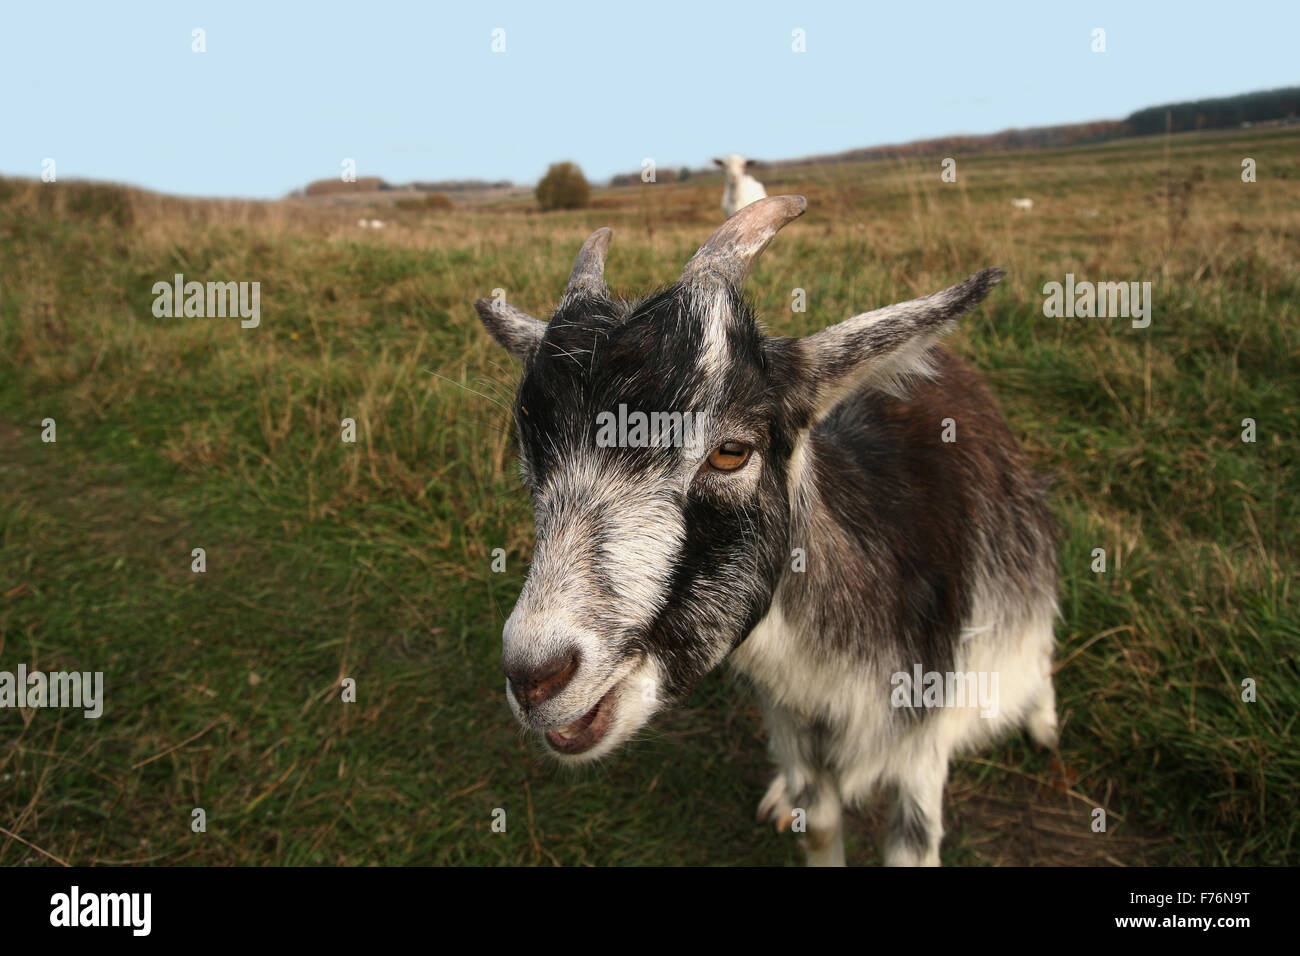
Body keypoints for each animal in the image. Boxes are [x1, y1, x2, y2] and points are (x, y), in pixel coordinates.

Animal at [473, 196, 1060, 868]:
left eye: (731, 451)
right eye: (530, 455)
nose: (533, 675)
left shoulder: (921, 744)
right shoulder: (795, 724)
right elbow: (822, 823)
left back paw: (1043, 720)